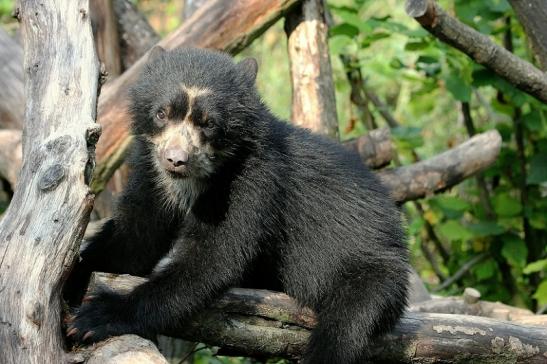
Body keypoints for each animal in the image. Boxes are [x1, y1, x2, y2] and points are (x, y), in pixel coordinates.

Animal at [67, 47, 412, 362]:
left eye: (208, 123)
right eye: (162, 113)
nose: (176, 160)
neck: (197, 179)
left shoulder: (252, 181)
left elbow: (214, 257)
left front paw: (96, 316)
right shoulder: (152, 174)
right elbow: (133, 240)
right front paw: (73, 280)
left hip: (370, 272)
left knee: (343, 328)